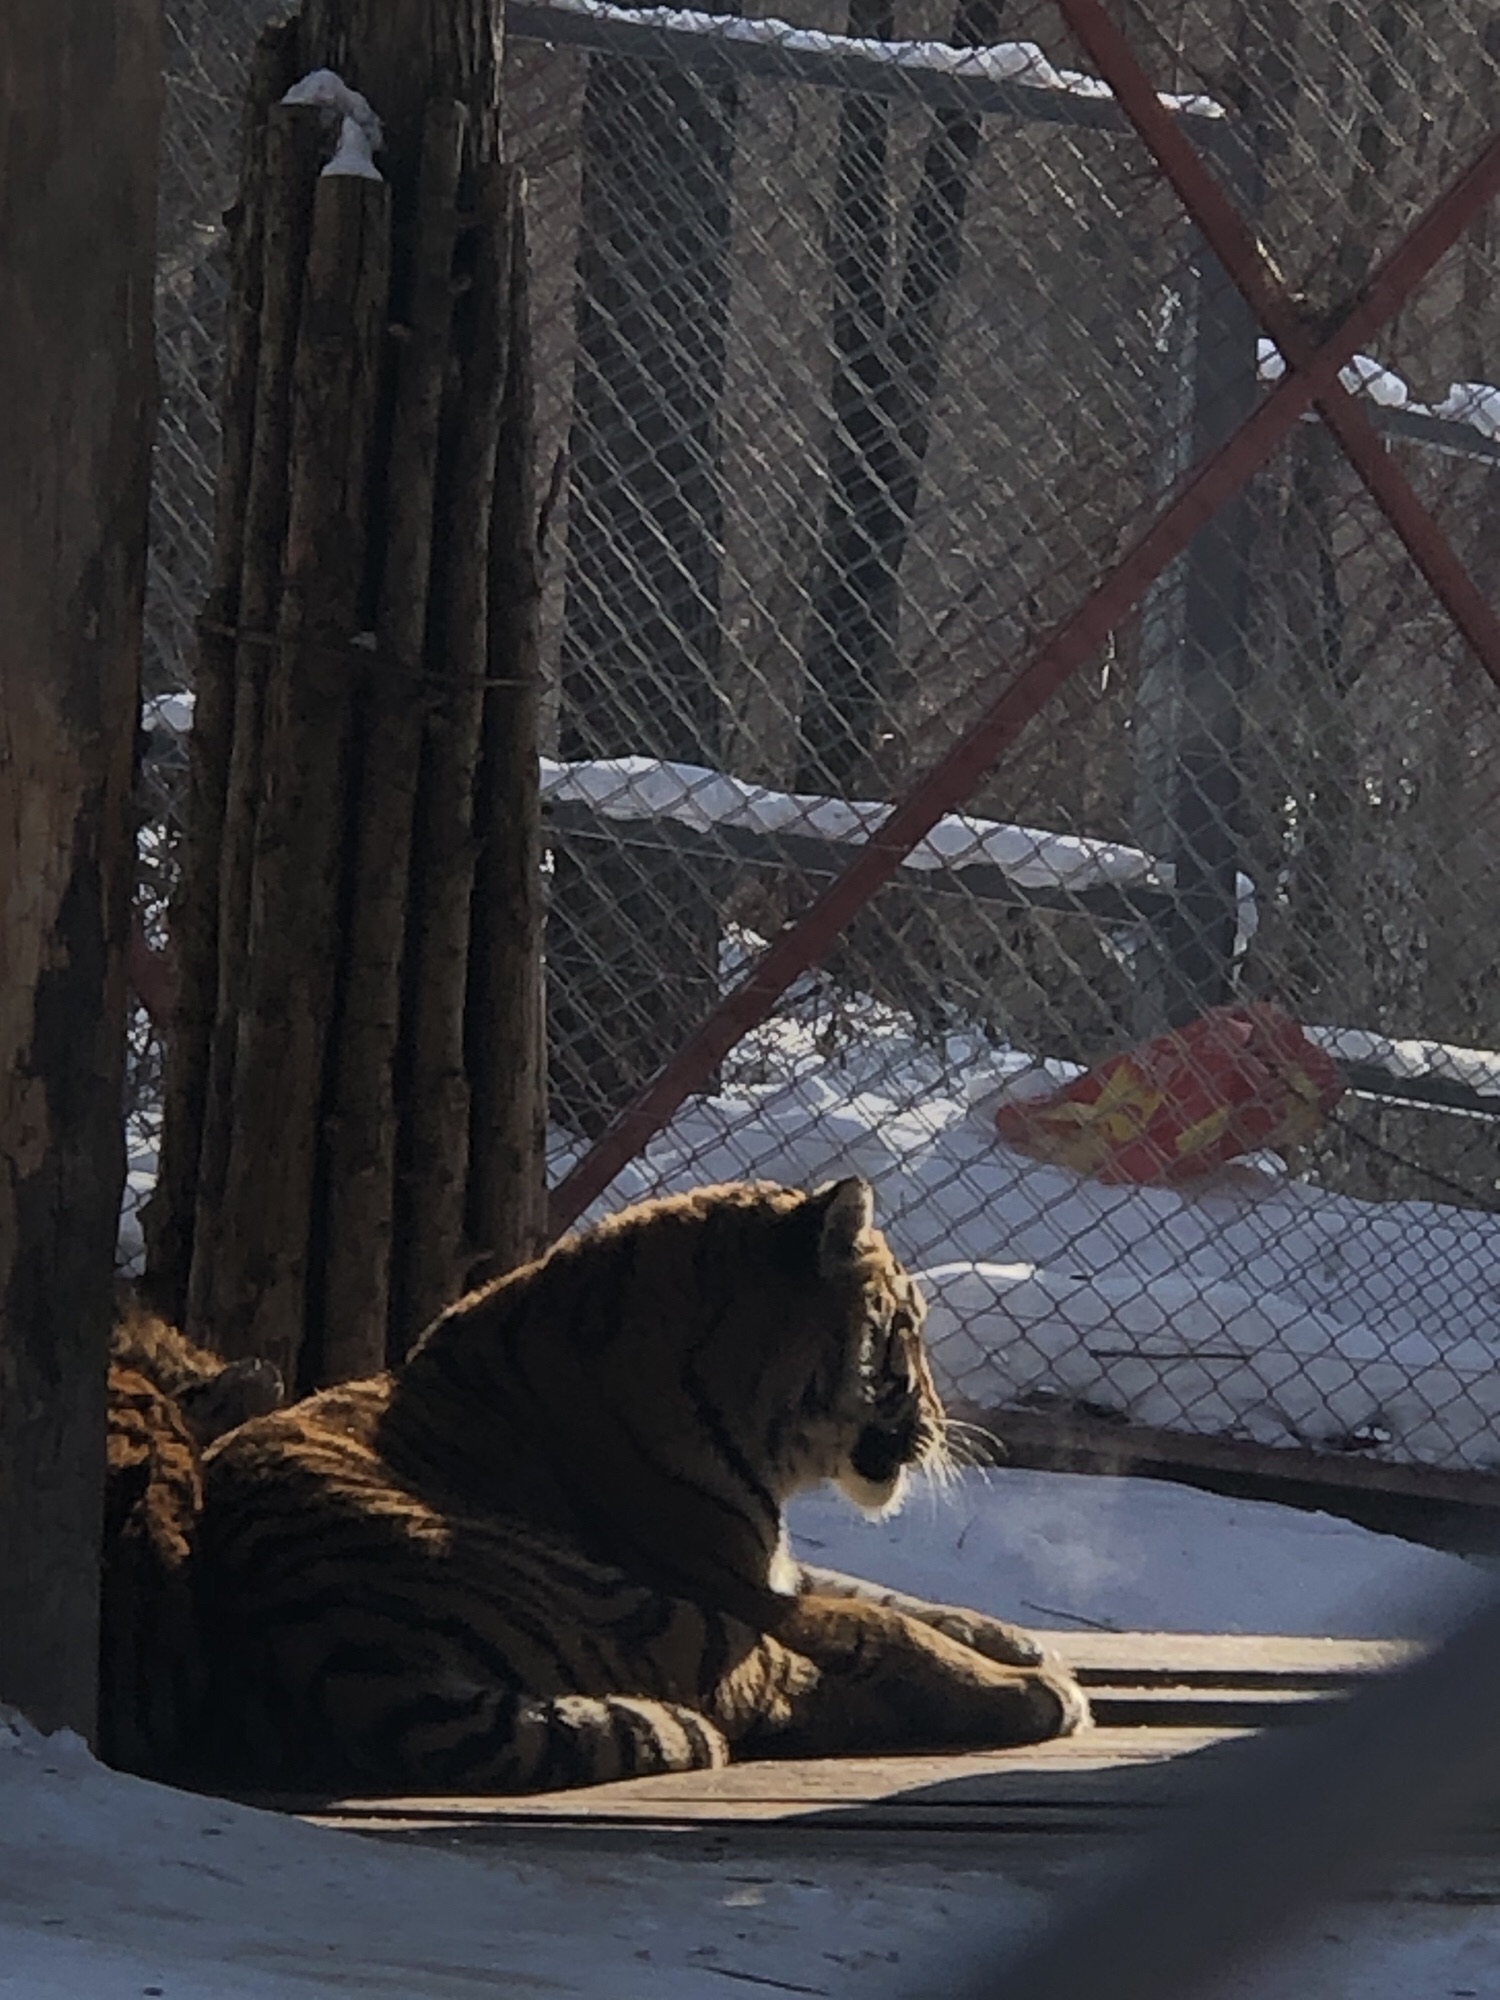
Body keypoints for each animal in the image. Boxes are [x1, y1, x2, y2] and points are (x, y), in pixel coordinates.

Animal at [189, 1177, 1088, 1795]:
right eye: (906, 1330)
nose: (936, 1422)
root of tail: (340, 1665)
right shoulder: (732, 1584)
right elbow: (880, 1625)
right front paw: (1033, 1679)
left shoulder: (769, 1567)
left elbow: (893, 1596)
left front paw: (1016, 1639)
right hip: (632, 1600)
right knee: (777, 1694)